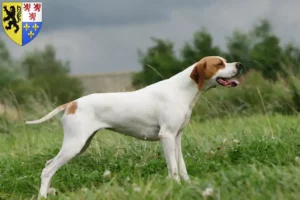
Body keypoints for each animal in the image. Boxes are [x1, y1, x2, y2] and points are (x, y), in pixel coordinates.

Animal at [25, 55, 241, 198]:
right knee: (47, 169)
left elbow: (181, 166)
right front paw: (175, 186)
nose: (239, 64)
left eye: (225, 61)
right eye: (219, 63)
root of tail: (71, 103)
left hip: (80, 145)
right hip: (74, 145)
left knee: (48, 164)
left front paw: (187, 185)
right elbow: (172, 168)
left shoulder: (177, 137)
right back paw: (43, 196)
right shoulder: (166, 137)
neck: (182, 90)